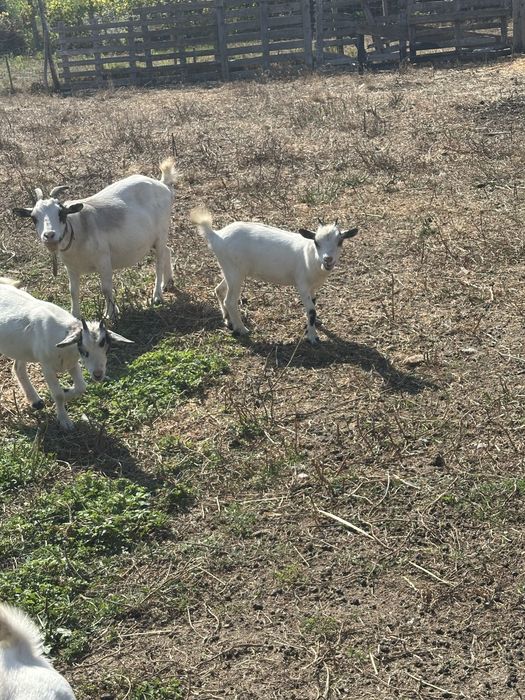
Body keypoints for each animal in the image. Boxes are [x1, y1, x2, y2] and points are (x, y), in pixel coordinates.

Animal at [0, 279, 133, 431]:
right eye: (84, 350)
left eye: (107, 348)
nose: (98, 375)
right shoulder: (47, 367)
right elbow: (58, 395)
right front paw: (65, 421)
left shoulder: (72, 364)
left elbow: (81, 387)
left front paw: (66, 391)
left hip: (21, 349)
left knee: (17, 367)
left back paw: (36, 401)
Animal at [13, 159, 179, 321]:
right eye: (34, 217)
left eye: (62, 213)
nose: (49, 235)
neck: (78, 229)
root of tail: (163, 185)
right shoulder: (71, 267)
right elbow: (73, 291)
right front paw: (75, 316)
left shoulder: (103, 260)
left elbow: (105, 288)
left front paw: (110, 314)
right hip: (153, 240)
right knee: (167, 251)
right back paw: (168, 282)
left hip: (161, 233)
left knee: (158, 263)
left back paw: (157, 295)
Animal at [191, 209, 358, 344]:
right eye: (316, 242)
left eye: (340, 241)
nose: (328, 259)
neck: (310, 256)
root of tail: (216, 236)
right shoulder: (302, 284)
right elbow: (311, 310)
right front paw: (312, 337)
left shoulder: (313, 288)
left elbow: (314, 305)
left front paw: (311, 326)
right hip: (235, 272)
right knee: (230, 300)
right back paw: (242, 329)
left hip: (230, 270)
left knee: (219, 289)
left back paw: (228, 320)